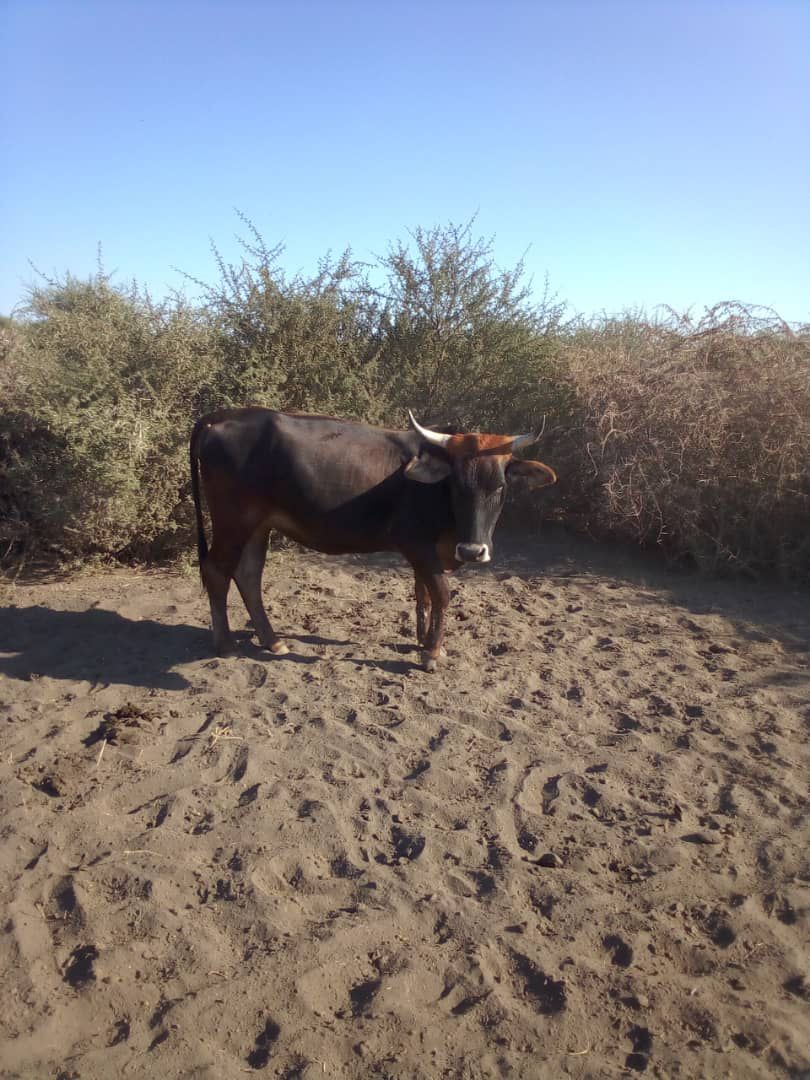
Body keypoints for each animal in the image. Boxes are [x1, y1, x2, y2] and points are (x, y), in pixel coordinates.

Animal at [190, 408, 557, 669]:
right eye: (456, 485)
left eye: (500, 486)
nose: (472, 551)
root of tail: (223, 416)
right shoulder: (417, 545)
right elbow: (441, 593)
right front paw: (432, 653)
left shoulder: (428, 552)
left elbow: (423, 593)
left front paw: (425, 642)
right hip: (233, 521)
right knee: (217, 572)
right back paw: (225, 645)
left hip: (258, 525)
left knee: (248, 575)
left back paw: (272, 640)